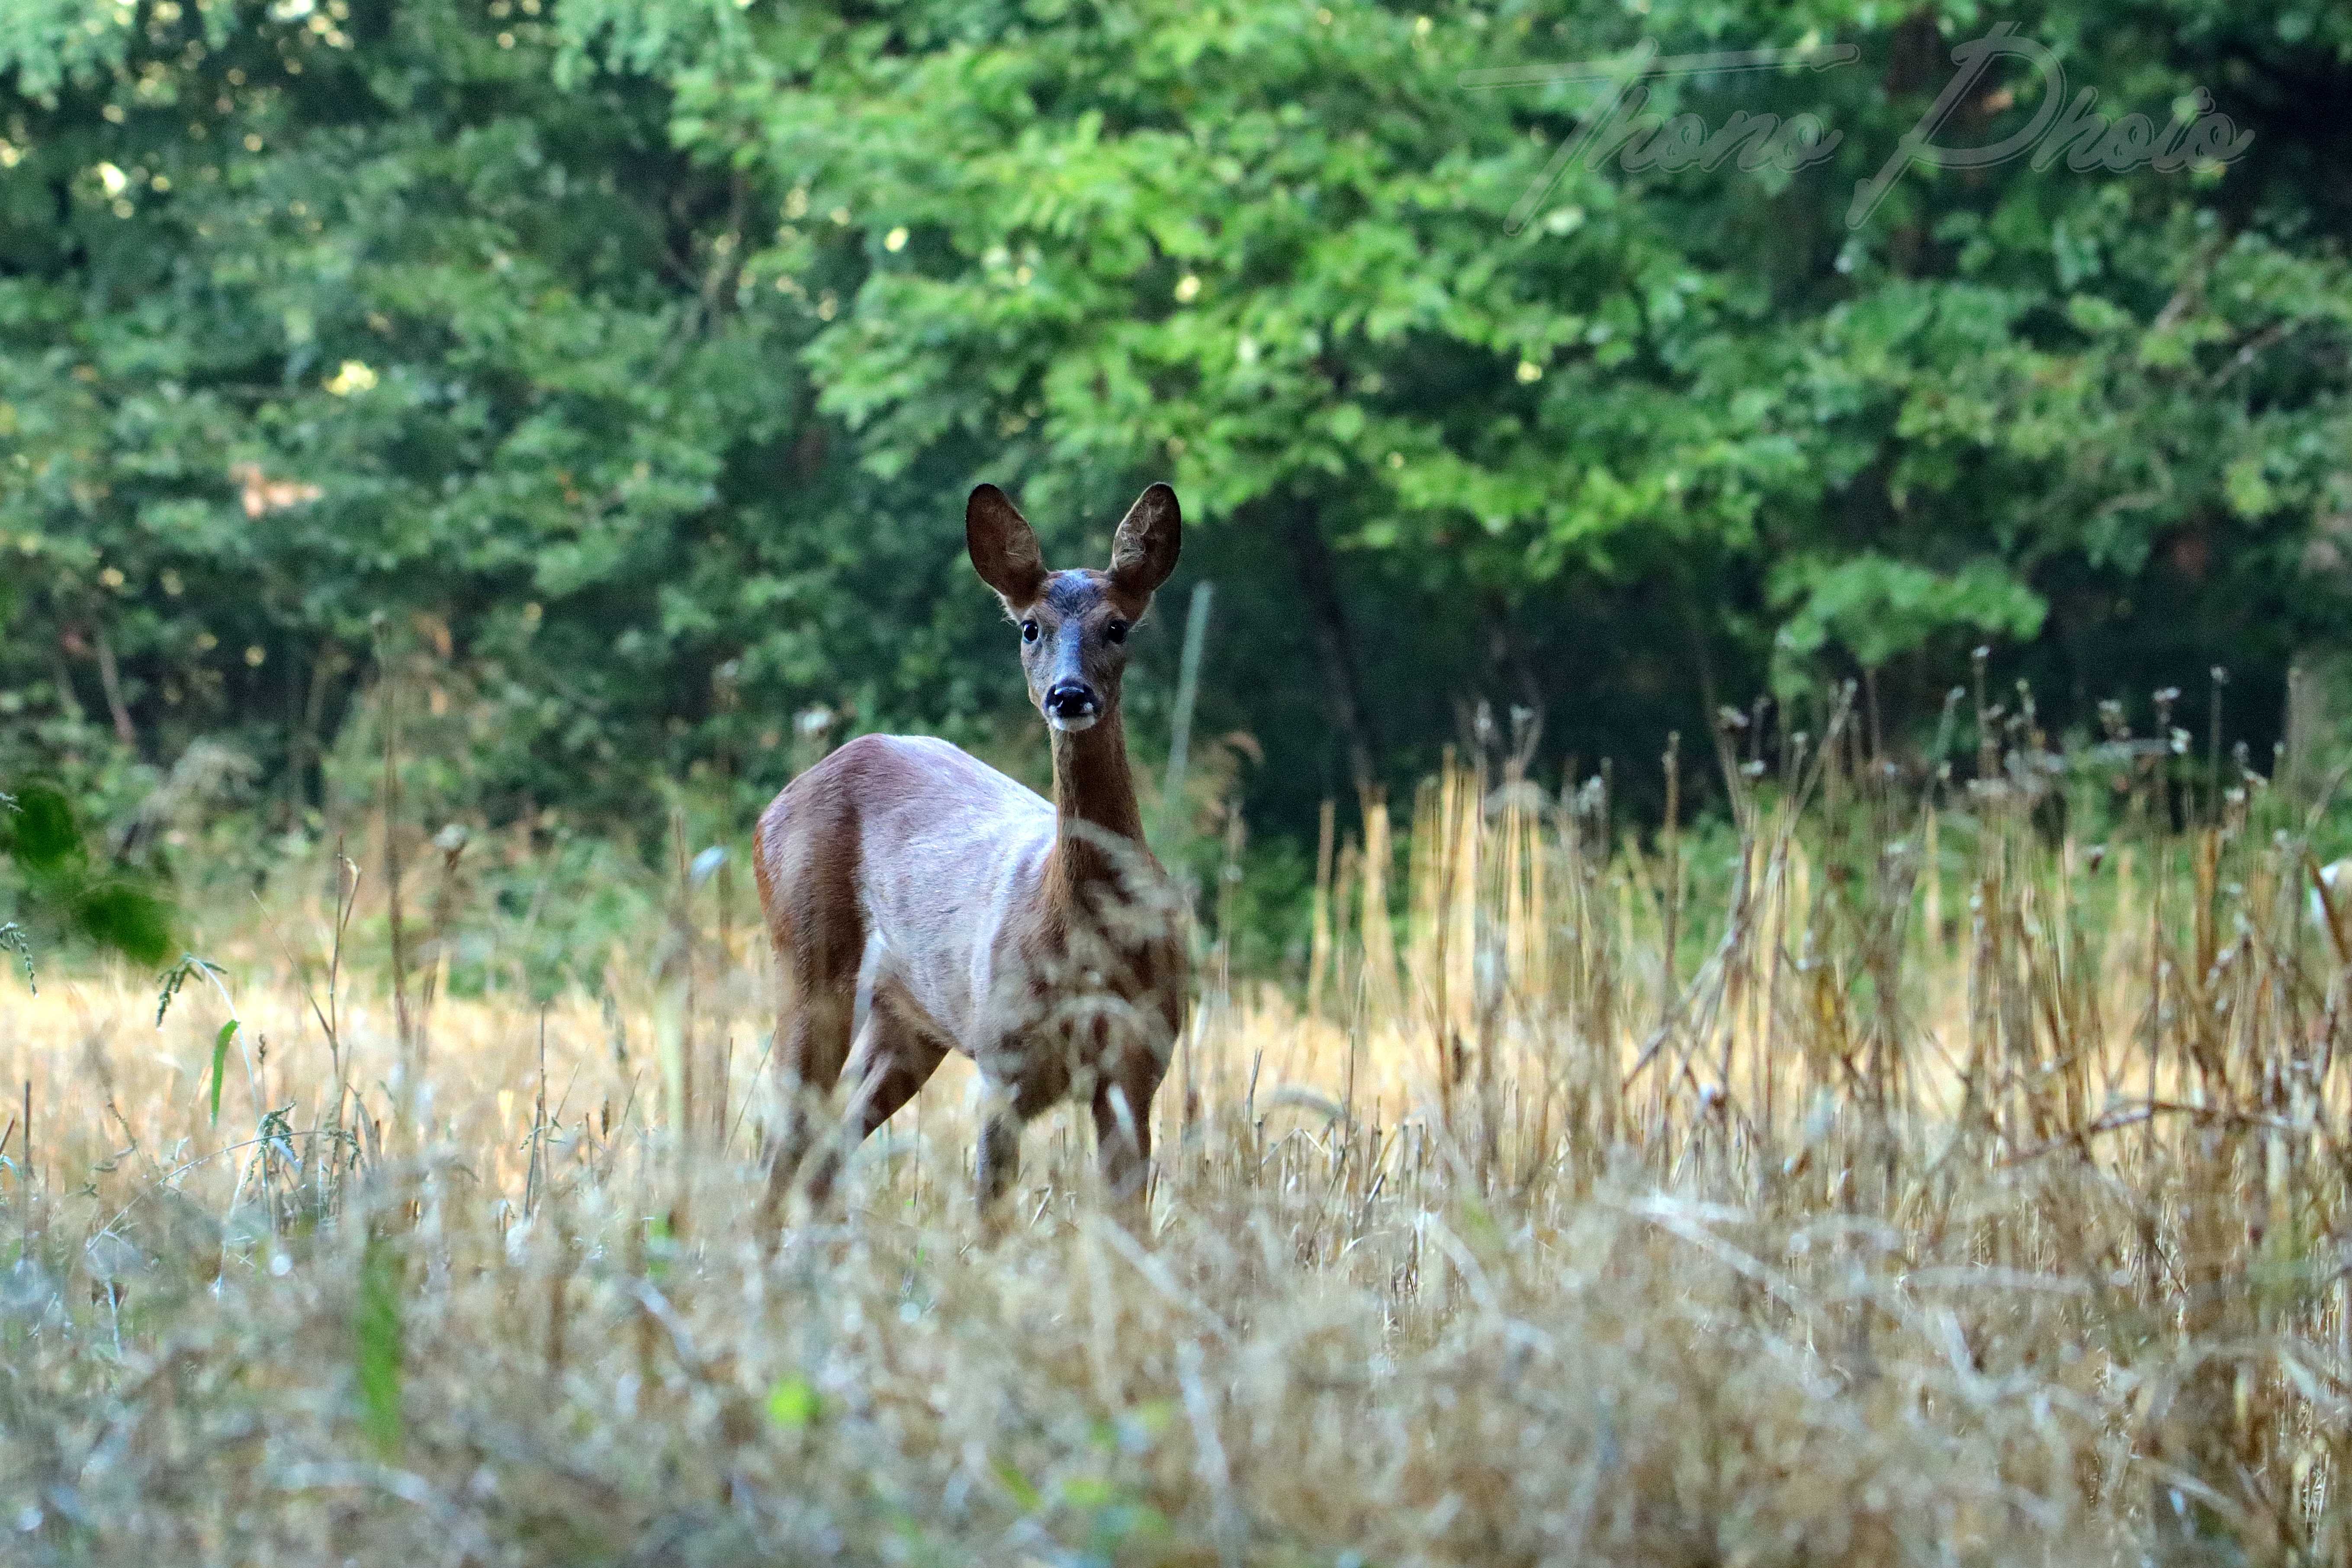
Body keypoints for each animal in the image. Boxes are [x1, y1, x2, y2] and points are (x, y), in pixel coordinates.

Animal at [757, 484, 1195, 1222]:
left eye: (1117, 627)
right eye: (1029, 628)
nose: (1069, 694)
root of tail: (772, 808)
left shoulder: (1140, 1065)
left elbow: (1130, 1228)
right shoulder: (1003, 1059)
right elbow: (990, 1217)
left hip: (908, 1020)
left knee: (828, 1145)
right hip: (806, 960)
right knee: (780, 1145)